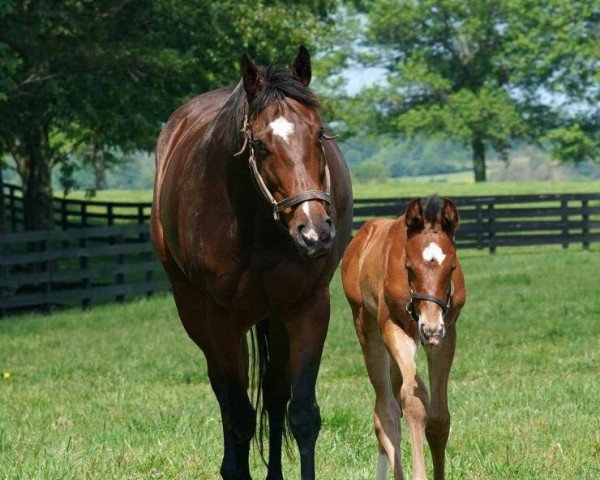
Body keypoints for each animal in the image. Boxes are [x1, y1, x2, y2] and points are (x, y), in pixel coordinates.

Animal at [340, 197, 466, 478]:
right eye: (409, 267)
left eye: (452, 267)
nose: (430, 329)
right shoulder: (395, 329)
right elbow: (414, 402)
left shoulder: (447, 334)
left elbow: (439, 419)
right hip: (368, 330)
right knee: (386, 413)